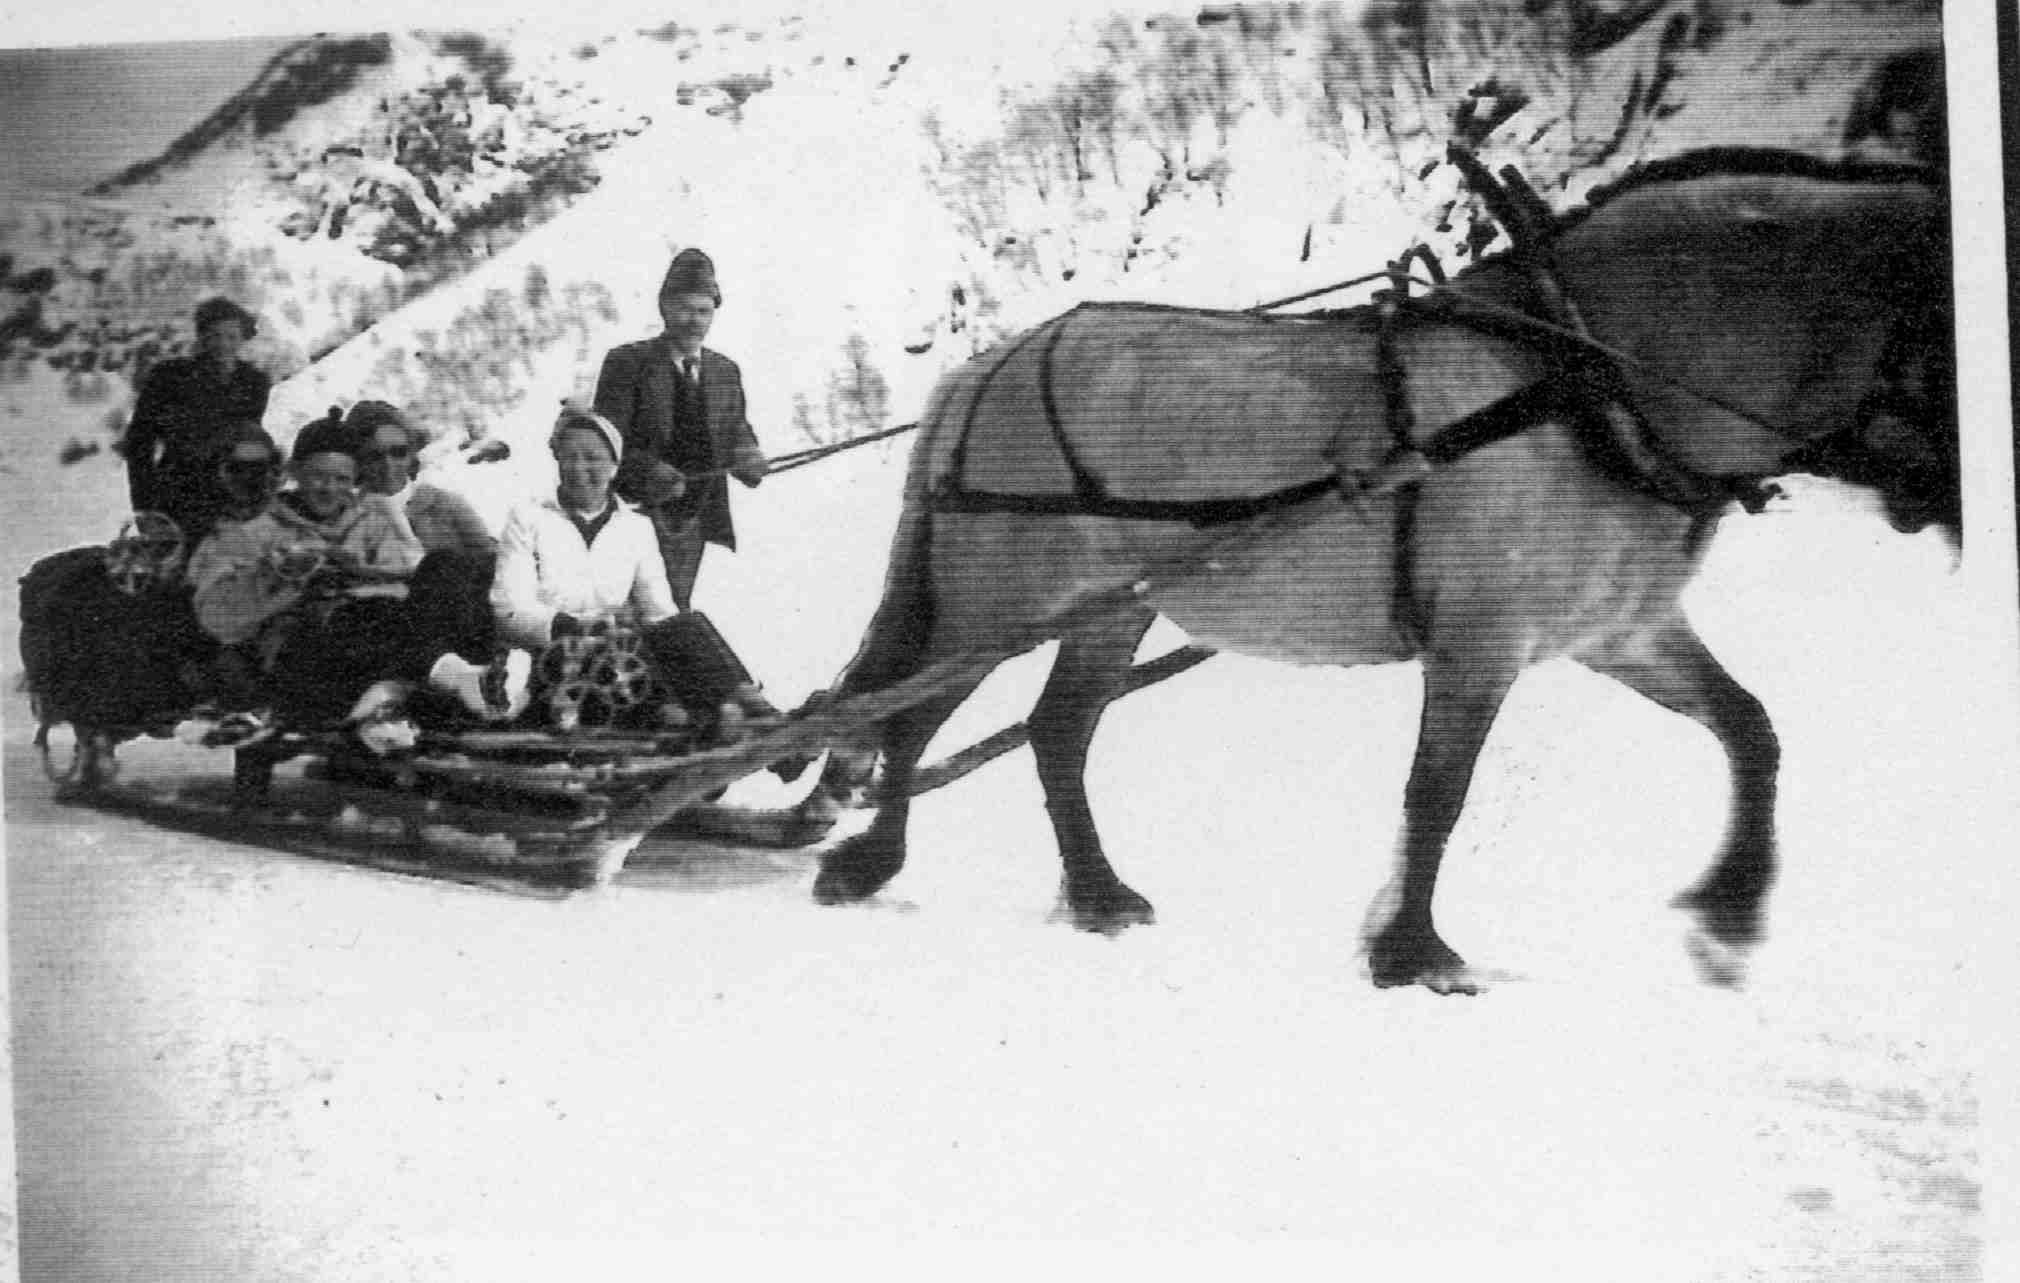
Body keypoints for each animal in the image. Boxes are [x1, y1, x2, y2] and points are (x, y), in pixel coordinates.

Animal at [791, 150, 1955, 994]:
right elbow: (1438, 791)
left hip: (1106, 609)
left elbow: (1750, 728)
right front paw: (1412, 950)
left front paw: (1730, 914)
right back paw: (868, 860)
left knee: (1054, 732)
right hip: (1001, 593)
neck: (1588, 378)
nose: (1948, 513)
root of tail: (983, 367)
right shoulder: (1482, 639)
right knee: (914, 718)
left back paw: (1098, 893)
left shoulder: (1619, 631)